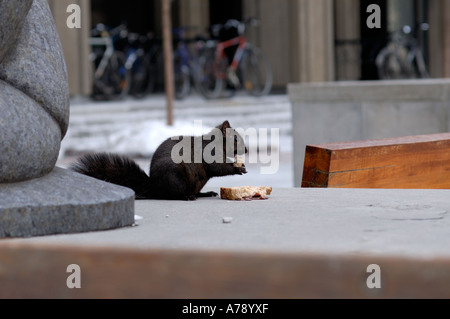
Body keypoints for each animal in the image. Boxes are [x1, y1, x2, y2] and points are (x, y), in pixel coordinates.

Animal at [69, 121, 250, 201]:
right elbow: (217, 168)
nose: (247, 150)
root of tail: (154, 187)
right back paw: (186, 197)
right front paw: (238, 168)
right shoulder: (210, 154)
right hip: (175, 177)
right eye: (235, 138)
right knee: (172, 195)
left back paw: (204, 193)